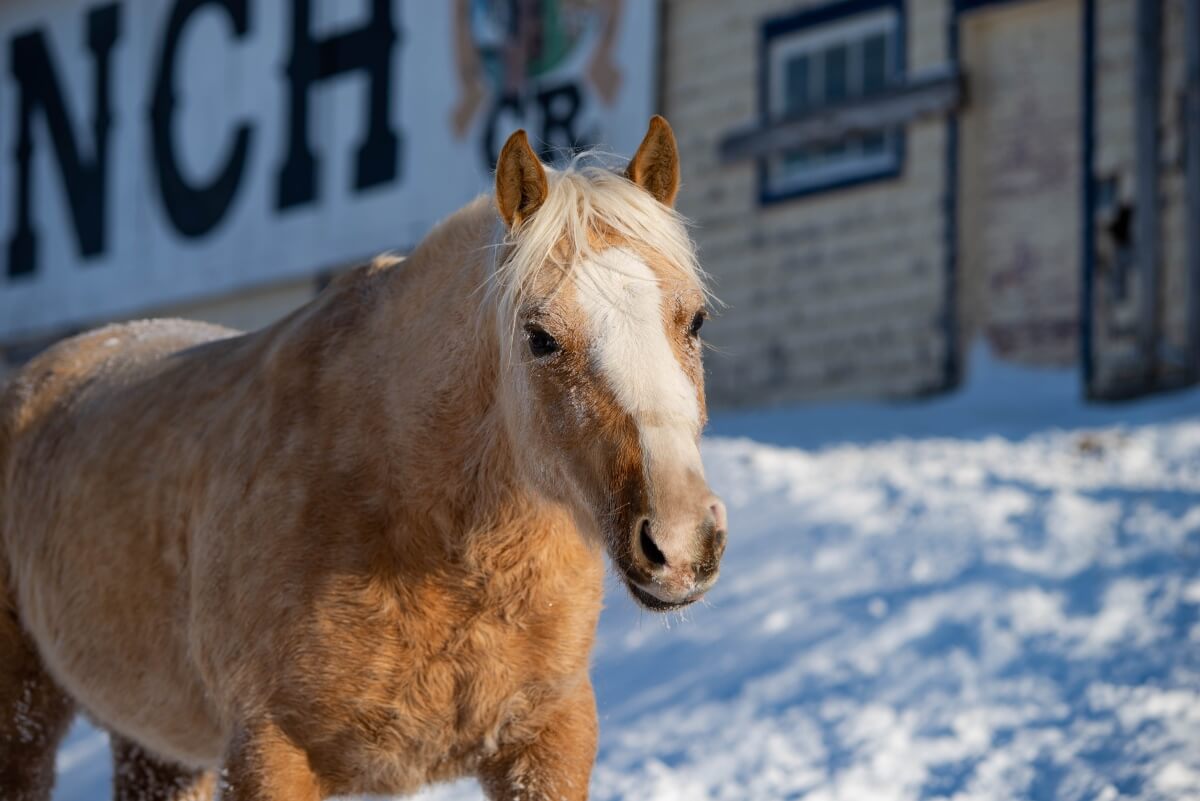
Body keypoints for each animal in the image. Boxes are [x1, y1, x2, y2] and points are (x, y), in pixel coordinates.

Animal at [0, 116, 727, 801]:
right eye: (540, 337)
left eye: (694, 321)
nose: (680, 541)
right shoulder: (270, 753)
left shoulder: (550, 738)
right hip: (27, 717)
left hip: (157, 746)